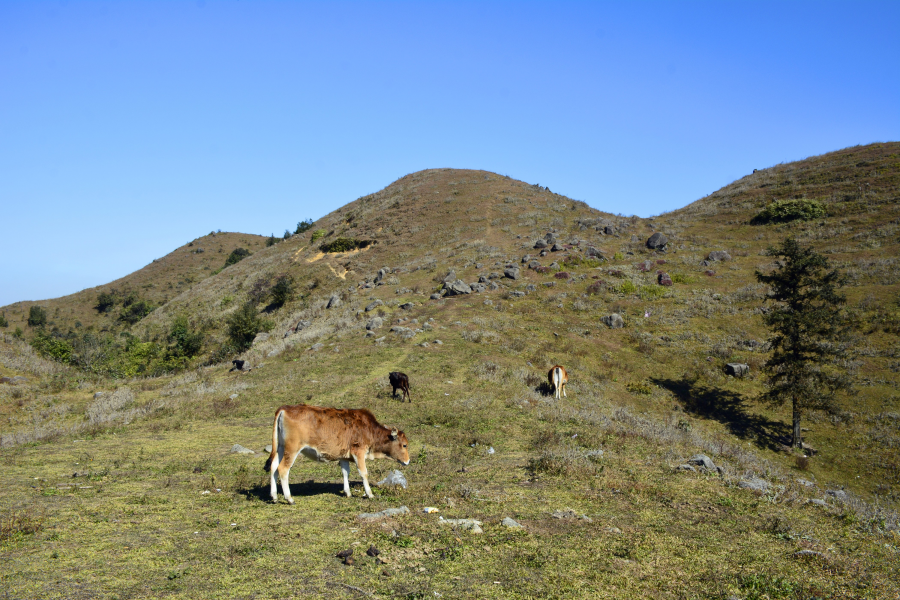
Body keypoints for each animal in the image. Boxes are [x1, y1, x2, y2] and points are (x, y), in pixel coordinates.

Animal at [264, 406, 412, 504]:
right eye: (404, 445)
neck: (369, 430)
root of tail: (285, 408)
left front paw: (347, 492)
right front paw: (369, 494)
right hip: (292, 448)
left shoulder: (344, 455)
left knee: (273, 467)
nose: (408, 461)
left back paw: (274, 496)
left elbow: (345, 472)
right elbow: (364, 473)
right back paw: (289, 498)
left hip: (280, 448)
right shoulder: (358, 451)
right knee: (283, 469)